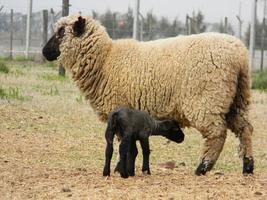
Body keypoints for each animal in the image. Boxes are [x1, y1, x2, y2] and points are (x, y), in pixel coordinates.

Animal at [42, 15, 255, 175]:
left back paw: (203, 167)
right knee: (245, 129)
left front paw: (120, 168)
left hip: (207, 99)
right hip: (236, 98)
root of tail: (240, 55)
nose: (44, 52)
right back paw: (248, 167)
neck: (105, 60)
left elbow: (124, 144)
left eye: (61, 32)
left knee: (217, 134)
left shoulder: (118, 108)